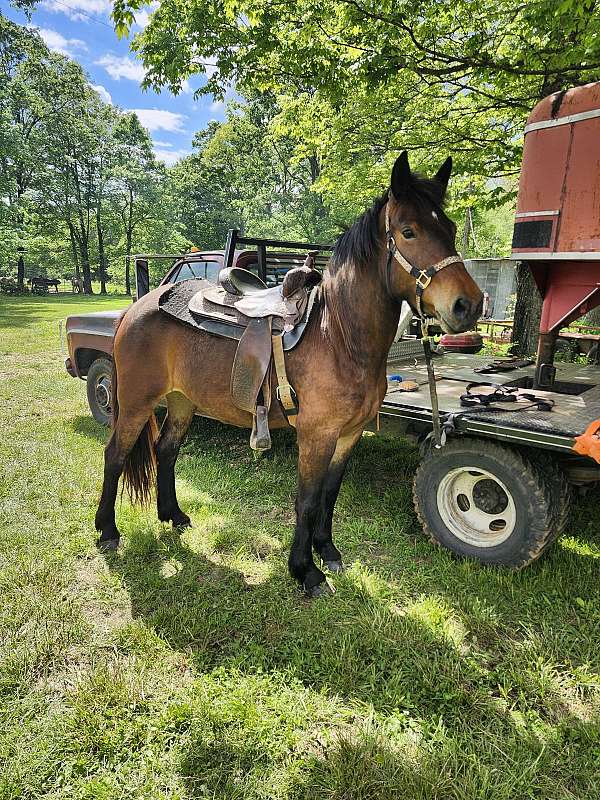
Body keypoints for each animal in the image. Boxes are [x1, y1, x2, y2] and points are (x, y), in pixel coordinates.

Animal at [95, 152, 483, 596]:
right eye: (409, 231)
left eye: (450, 229)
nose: (468, 305)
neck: (339, 338)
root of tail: (139, 305)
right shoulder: (317, 434)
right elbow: (308, 499)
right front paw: (305, 570)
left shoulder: (348, 435)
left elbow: (330, 495)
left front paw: (328, 552)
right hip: (136, 403)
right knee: (115, 455)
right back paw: (107, 531)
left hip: (181, 403)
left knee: (167, 451)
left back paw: (173, 515)